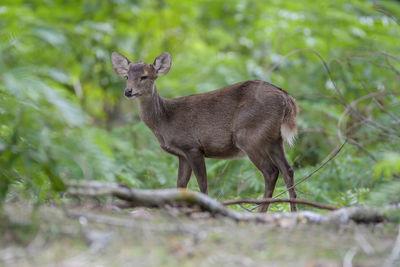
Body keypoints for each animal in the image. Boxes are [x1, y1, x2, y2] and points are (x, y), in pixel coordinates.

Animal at [111, 51, 298, 213]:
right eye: (126, 76)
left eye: (144, 76)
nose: (128, 91)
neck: (165, 121)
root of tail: (287, 99)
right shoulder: (182, 154)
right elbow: (180, 185)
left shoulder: (192, 146)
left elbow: (202, 185)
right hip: (274, 139)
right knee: (287, 170)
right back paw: (294, 210)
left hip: (249, 135)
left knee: (271, 171)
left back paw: (261, 212)